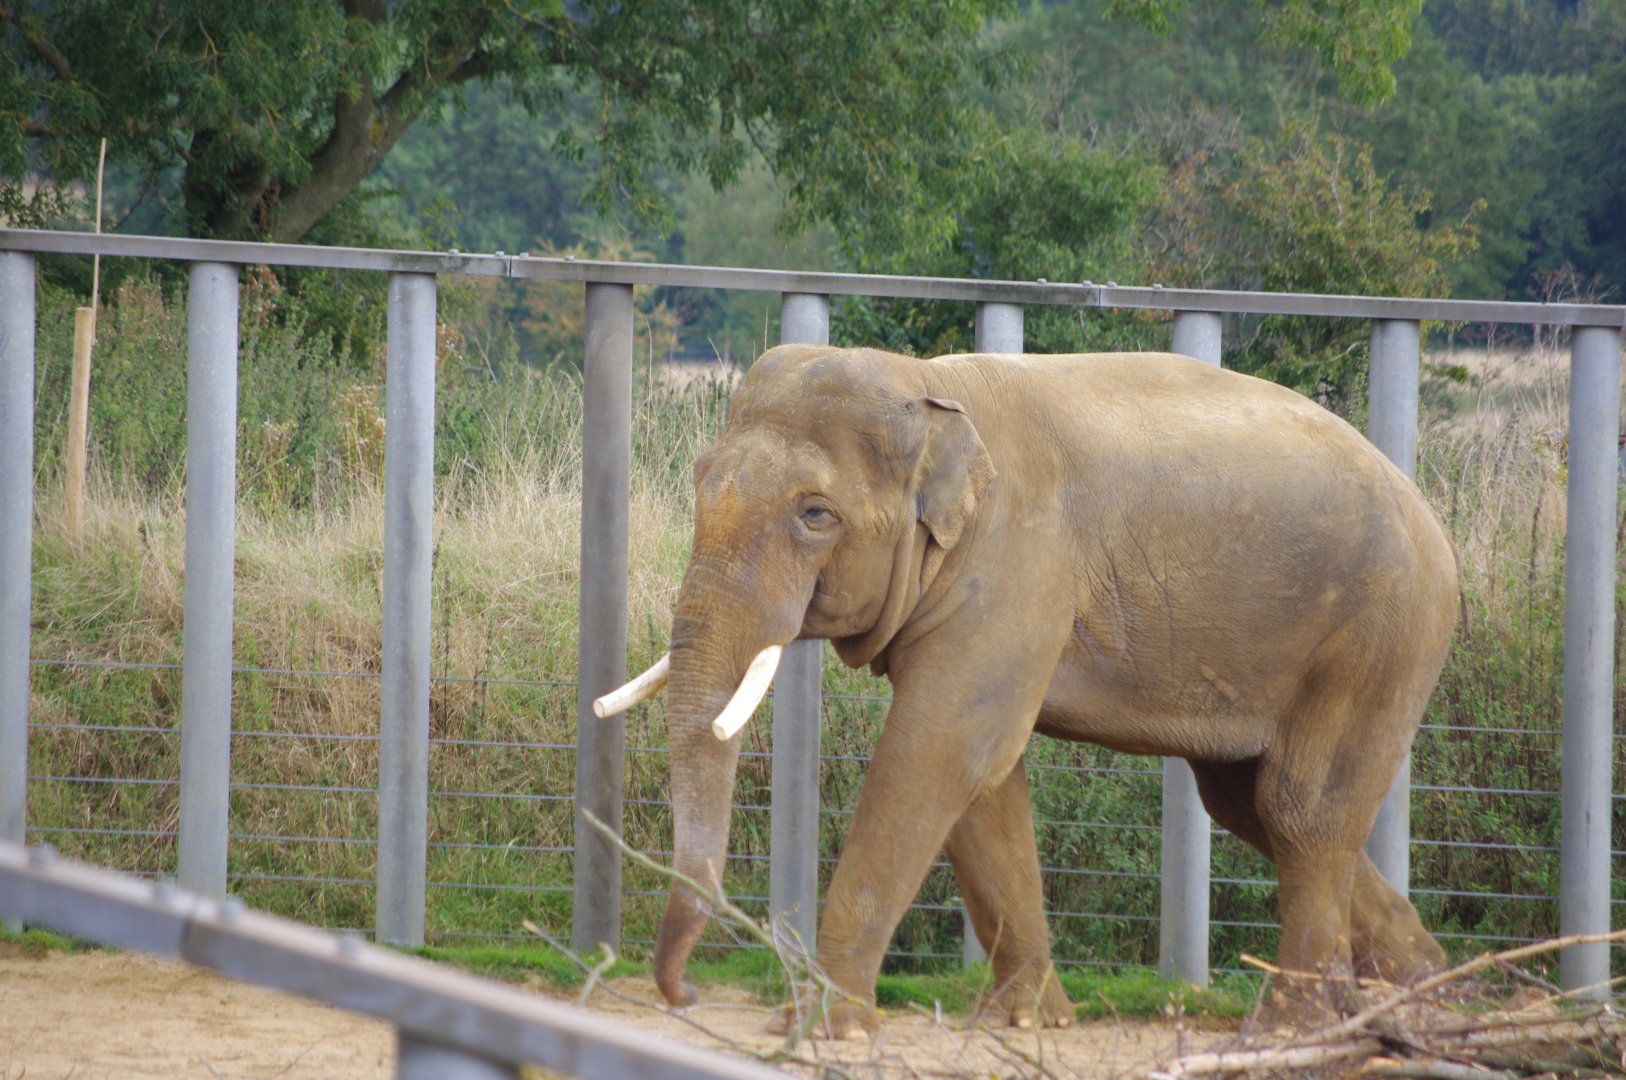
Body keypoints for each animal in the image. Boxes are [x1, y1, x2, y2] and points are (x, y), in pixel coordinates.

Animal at [595, 343, 1457, 1036]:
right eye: (701, 482)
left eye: (815, 514)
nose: (685, 994)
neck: (929, 387)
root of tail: (1427, 508)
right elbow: (984, 779)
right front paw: (1021, 1021)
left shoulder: (1017, 556)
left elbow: (942, 747)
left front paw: (818, 1026)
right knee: (1245, 803)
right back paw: (1426, 996)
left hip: (1380, 633)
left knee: (1300, 810)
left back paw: (1292, 1028)